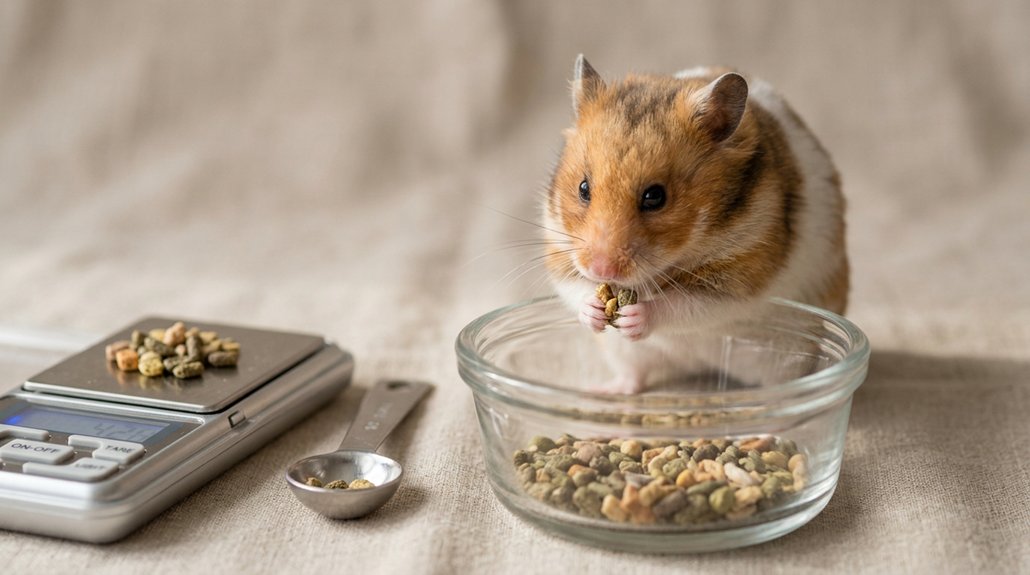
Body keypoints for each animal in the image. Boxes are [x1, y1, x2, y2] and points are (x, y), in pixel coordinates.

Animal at [542, 55, 849, 394]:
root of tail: (698, 365)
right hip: (622, 350)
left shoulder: (739, 271)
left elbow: (685, 304)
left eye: (655, 197)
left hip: (787, 355)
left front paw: (636, 316)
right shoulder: (559, 249)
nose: (601, 270)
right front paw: (595, 311)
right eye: (583, 188)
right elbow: (575, 288)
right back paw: (607, 392)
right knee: (634, 374)